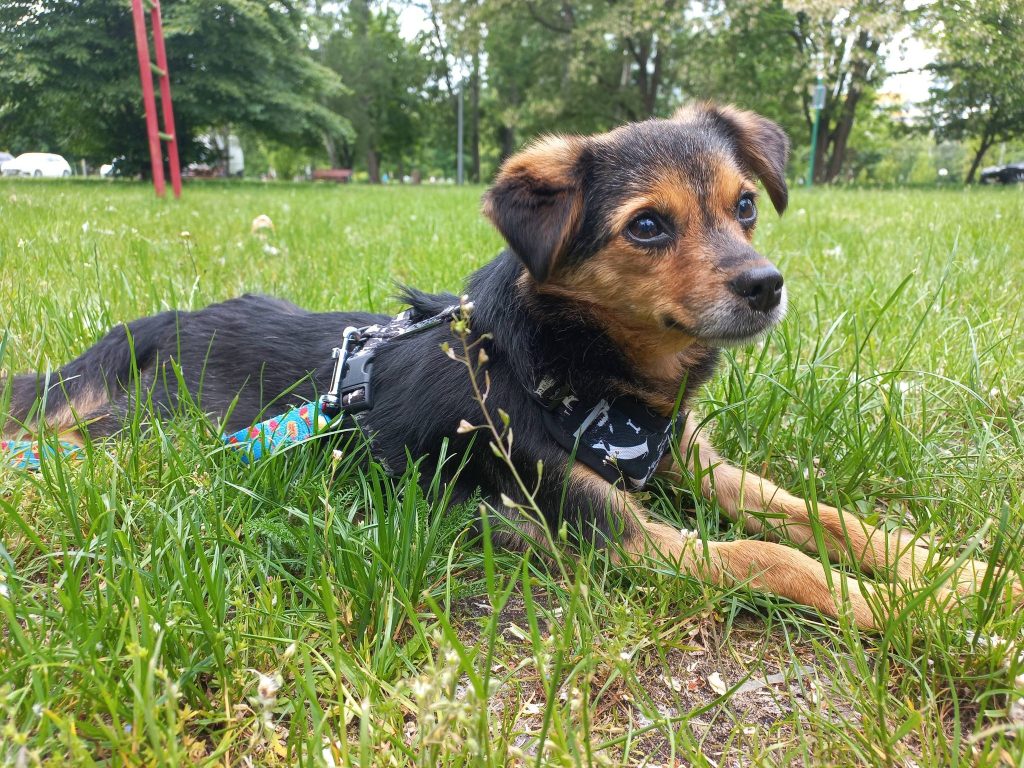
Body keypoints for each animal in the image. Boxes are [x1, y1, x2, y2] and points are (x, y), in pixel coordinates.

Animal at [2, 103, 1010, 629]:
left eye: (746, 206)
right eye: (649, 225)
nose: (766, 287)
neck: (587, 375)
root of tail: (164, 323)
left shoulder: (696, 463)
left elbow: (824, 518)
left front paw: (953, 576)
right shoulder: (617, 530)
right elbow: (776, 556)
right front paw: (926, 615)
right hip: (154, 437)